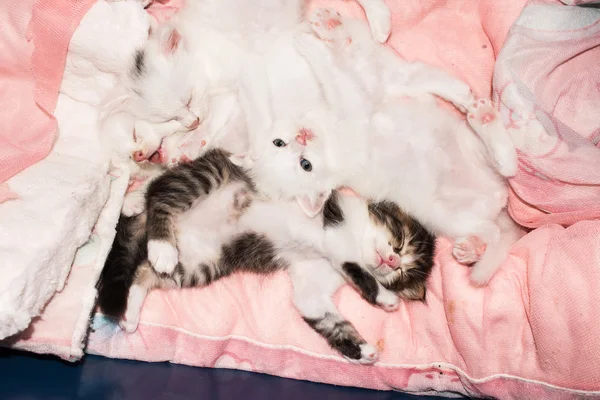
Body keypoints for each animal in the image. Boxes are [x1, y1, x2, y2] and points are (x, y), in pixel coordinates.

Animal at [98, 148, 436, 364]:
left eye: (404, 272)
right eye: (400, 241)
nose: (391, 261)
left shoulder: (313, 283)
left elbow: (322, 313)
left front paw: (361, 350)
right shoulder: (335, 230)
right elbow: (354, 265)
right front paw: (383, 298)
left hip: (203, 261)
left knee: (144, 272)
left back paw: (131, 311)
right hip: (209, 175)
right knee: (160, 195)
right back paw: (157, 240)